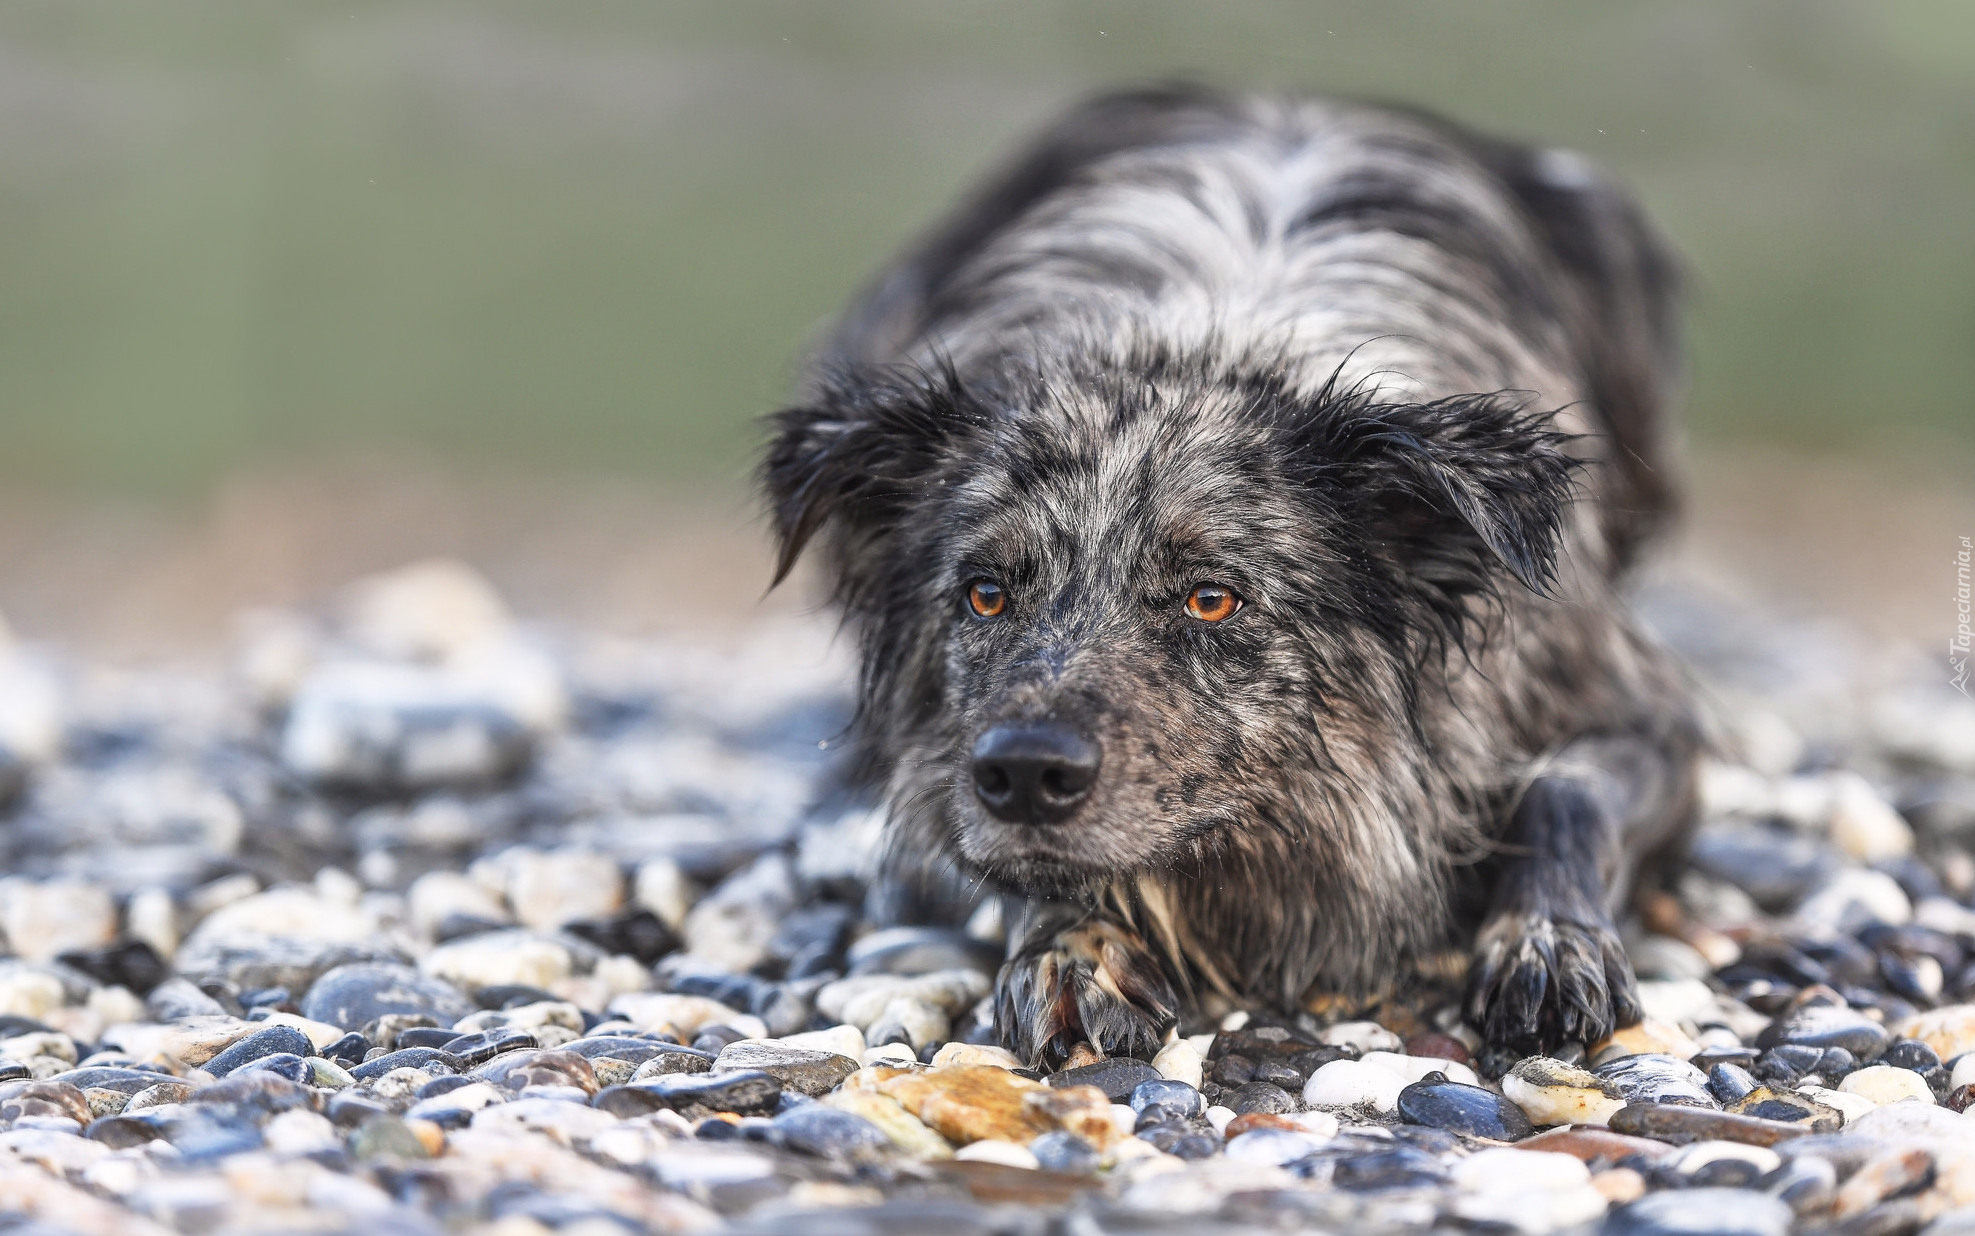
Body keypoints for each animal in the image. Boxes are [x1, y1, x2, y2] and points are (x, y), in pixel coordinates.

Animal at [754, 86, 1698, 1066]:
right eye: (985, 594)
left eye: (1211, 598)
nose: (1024, 773)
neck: (1210, 338)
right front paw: (1069, 945)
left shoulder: (1641, 709)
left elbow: (1563, 787)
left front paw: (1546, 942)